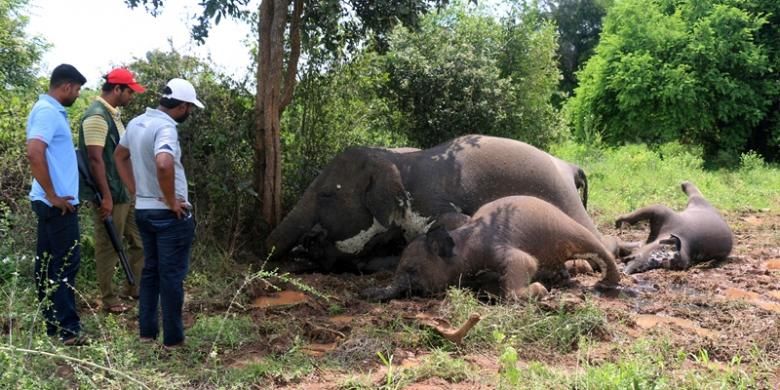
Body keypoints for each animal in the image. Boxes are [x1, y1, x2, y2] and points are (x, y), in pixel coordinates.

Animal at [266, 134, 604, 272]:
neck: (395, 160)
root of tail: (569, 166)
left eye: (326, 194)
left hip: (562, 195)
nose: (309, 240)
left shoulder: (432, 200)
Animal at [362, 195, 620, 302]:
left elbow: (525, 263)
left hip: (569, 228)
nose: (367, 295)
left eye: (412, 270)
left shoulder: (494, 247)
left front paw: (540, 290)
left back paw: (608, 282)